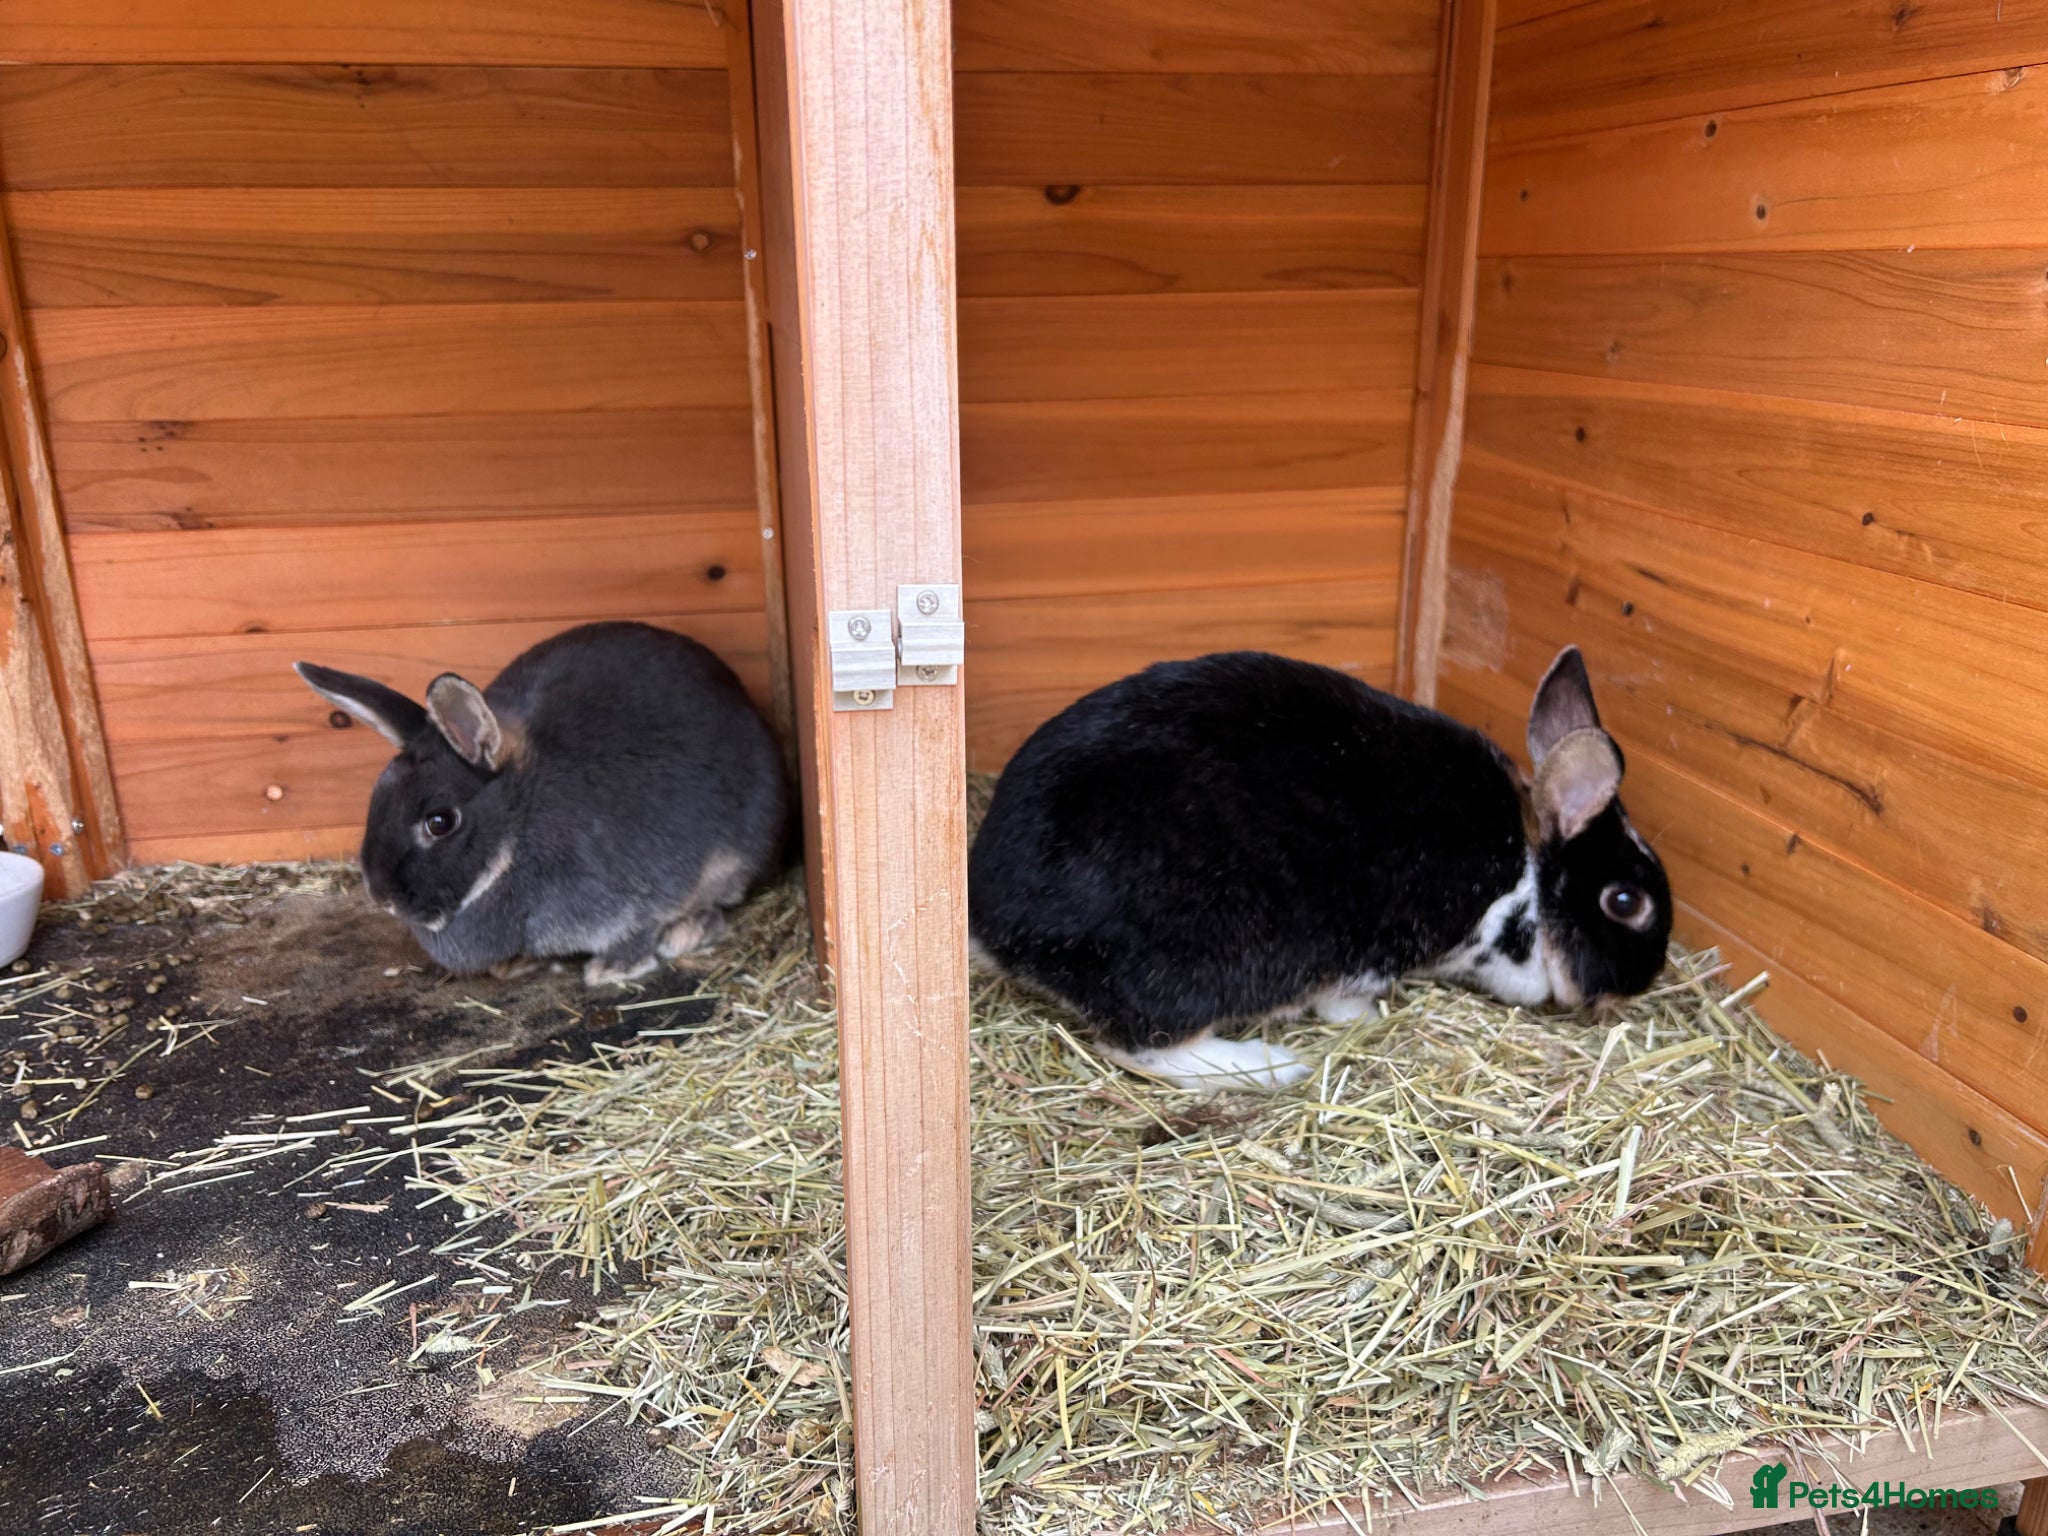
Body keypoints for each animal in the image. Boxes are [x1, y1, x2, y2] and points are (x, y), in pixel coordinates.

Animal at [295, 621, 789, 986]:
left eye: (440, 821)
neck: (520, 829)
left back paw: (685, 933)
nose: (381, 896)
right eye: (377, 796)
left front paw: (609, 970)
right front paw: (513, 965)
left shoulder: (637, 893)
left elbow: (640, 928)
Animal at [968, 645, 1671, 1092]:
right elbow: (1343, 1001)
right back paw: (1271, 1066)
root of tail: (993, 927)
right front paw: (1364, 1023)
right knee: (1140, 1046)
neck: (1527, 873)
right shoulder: (1371, 956)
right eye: (1624, 903)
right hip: (1197, 967)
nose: (1642, 984)